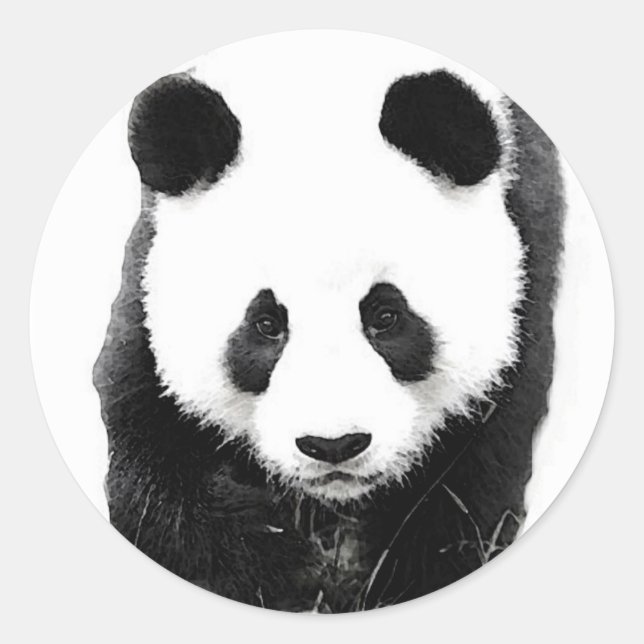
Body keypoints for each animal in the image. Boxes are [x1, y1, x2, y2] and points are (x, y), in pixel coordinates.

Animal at [93, 38, 564, 612]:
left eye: (386, 317)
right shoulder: (147, 287)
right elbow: (153, 467)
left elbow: (466, 493)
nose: (334, 445)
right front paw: (283, 572)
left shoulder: (527, 263)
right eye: (266, 324)